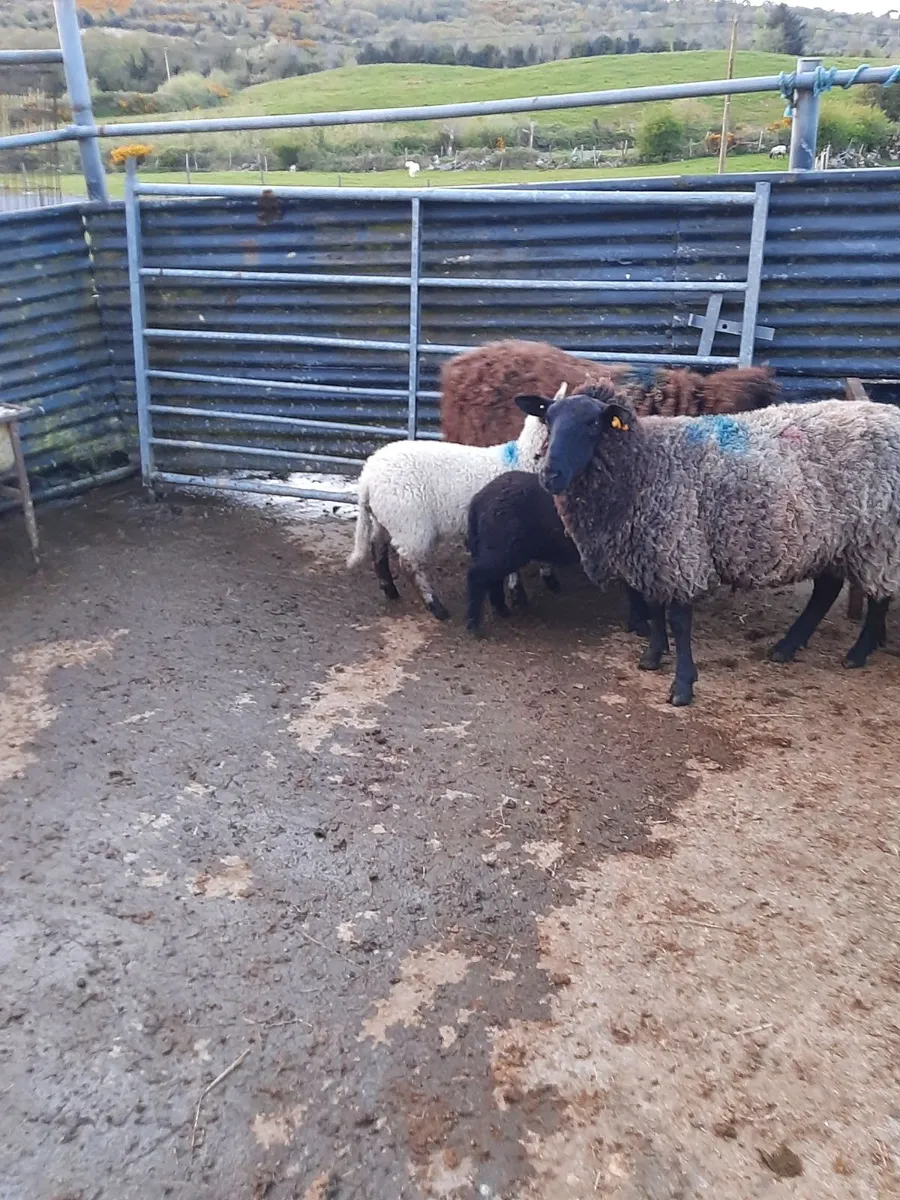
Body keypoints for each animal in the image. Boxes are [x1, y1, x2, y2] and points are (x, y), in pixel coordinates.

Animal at [347, 385, 564, 620]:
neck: (524, 460)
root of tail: (367, 477)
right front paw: (522, 594)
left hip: (386, 518)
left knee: (378, 548)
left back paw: (390, 590)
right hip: (410, 523)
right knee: (409, 564)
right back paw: (436, 607)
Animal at [515, 384, 900, 706]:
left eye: (593, 423)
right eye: (548, 419)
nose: (550, 474)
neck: (645, 462)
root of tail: (889, 412)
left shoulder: (678, 547)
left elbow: (678, 621)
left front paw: (682, 686)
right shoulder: (651, 552)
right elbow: (653, 610)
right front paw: (652, 657)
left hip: (879, 537)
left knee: (879, 595)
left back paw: (857, 653)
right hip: (834, 537)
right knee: (827, 589)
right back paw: (787, 647)